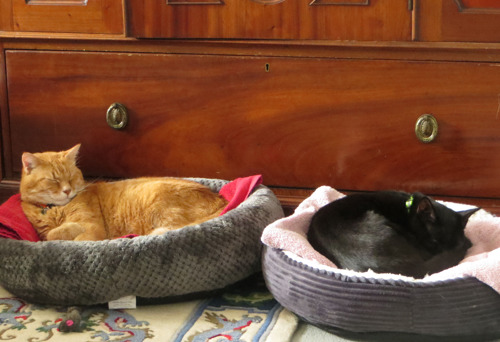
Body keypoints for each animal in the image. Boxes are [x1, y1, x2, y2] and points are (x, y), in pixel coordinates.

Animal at [19, 144, 229, 240]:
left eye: (71, 177)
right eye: (54, 180)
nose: (67, 190)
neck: (55, 209)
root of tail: (221, 201)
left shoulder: (92, 226)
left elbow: (69, 236)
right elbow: (52, 234)